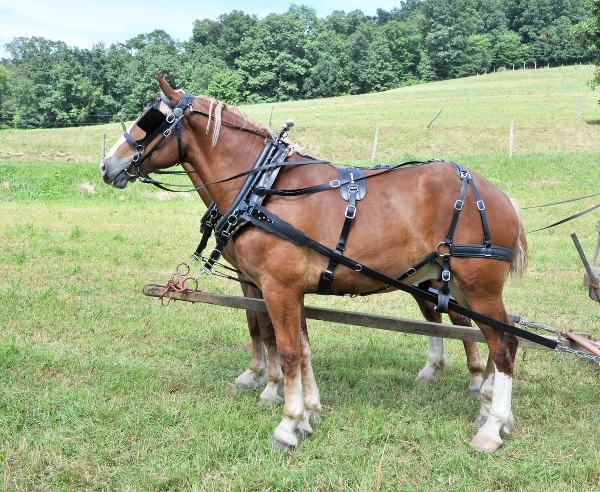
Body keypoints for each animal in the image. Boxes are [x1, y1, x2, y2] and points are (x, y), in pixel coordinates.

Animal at [101, 78, 528, 454]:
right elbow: (299, 348)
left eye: (152, 120)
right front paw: (307, 414)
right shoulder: (284, 289)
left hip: (476, 285)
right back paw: (486, 406)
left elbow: (288, 351)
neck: (262, 189)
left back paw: (492, 427)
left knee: (503, 343)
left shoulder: (278, 287)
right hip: (455, 285)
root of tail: (498, 196)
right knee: (488, 336)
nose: (107, 165)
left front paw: (288, 424)